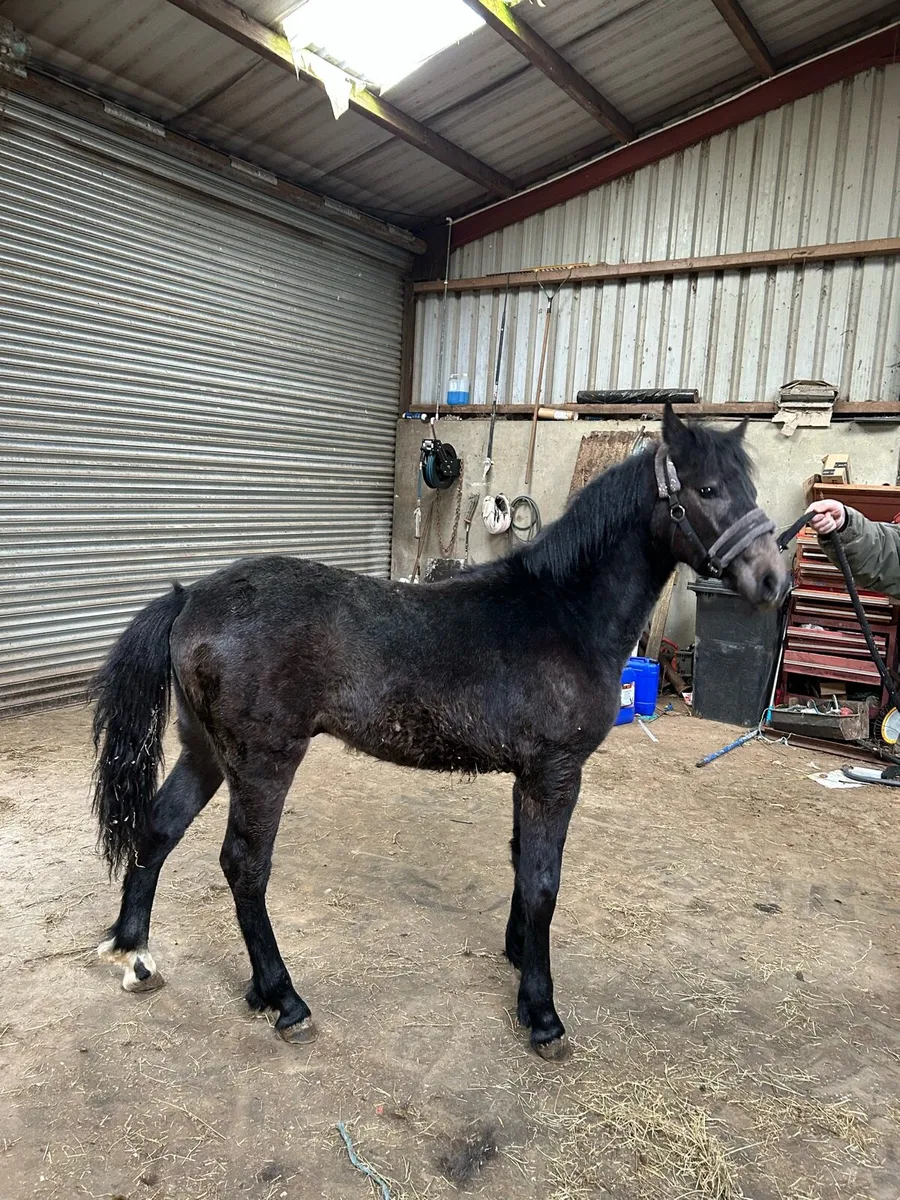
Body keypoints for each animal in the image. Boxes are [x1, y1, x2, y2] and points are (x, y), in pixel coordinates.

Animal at [91, 406, 790, 1060]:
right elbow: (544, 882)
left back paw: (136, 954)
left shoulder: (531, 777)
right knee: (244, 866)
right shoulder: (556, 773)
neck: (563, 612)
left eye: (749, 487)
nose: (773, 581)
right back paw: (283, 998)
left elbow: (522, 864)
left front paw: (518, 958)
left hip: (207, 752)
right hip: (264, 762)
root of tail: (189, 596)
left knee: (159, 829)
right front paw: (542, 1014)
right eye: (705, 489)